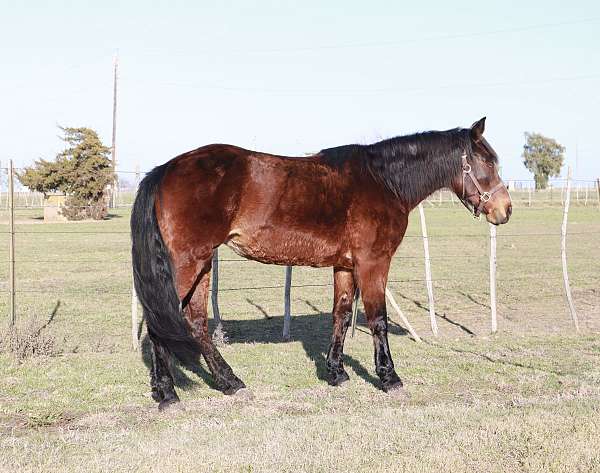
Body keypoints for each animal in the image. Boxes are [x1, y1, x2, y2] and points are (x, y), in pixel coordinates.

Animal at [131, 116, 510, 408]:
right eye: (488, 163)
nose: (504, 210)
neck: (383, 181)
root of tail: (165, 170)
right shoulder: (373, 263)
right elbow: (378, 319)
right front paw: (389, 378)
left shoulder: (345, 266)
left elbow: (341, 315)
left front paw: (336, 373)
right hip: (187, 264)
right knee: (160, 325)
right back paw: (167, 394)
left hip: (202, 264)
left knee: (195, 323)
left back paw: (230, 383)